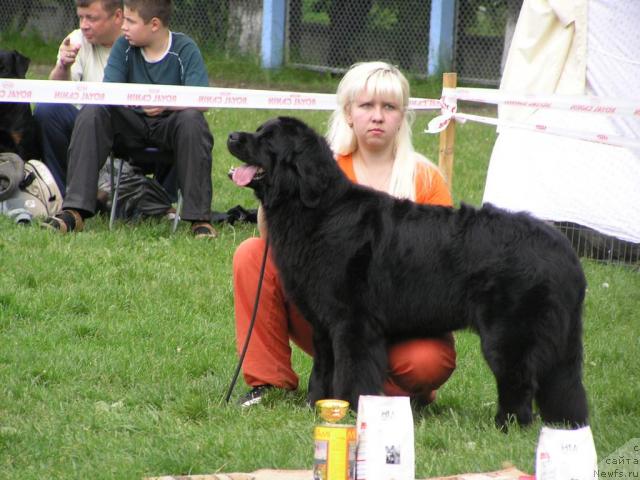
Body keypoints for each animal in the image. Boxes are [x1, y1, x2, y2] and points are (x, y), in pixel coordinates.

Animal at [229, 116, 592, 428]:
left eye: (268, 139)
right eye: (258, 130)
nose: (232, 136)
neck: (317, 210)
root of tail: (564, 250)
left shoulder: (353, 324)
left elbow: (351, 371)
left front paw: (350, 410)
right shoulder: (323, 324)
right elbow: (323, 369)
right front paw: (316, 405)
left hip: (510, 334)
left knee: (520, 381)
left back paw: (508, 425)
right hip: (560, 340)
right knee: (562, 383)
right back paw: (566, 425)